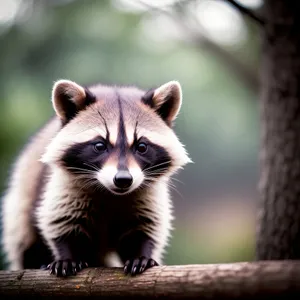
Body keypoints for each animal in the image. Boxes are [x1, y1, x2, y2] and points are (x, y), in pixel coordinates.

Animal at [1, 79, 191, 276]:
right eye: (100, 145)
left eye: (142, 147)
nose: (123, 179)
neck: (111, 193)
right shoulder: (63, 187)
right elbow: (59, 221)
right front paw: (68, 256)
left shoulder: (150, 196)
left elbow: (147, 226)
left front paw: (141, 254)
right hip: (21, 198)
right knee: (24, 239)